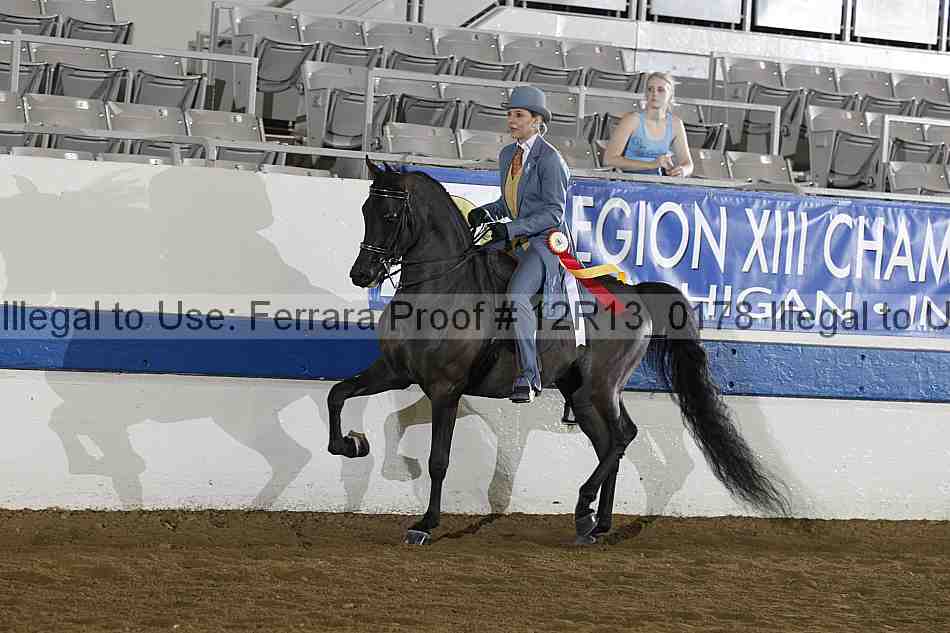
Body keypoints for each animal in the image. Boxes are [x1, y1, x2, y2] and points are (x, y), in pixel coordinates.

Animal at [328, 158, 789, 544]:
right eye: (366, 211)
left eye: (390, 216)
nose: (361, 274)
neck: (442, 288)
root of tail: (636, 293)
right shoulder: (395, 371)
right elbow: (339, 394)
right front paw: (352, 444)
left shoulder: (446, 389)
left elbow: (439, 459)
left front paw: (425, 524)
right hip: (583, 394)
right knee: (613, 441)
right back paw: (596, 524)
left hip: (599, 389)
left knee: (620, 438)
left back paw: (584, 508)